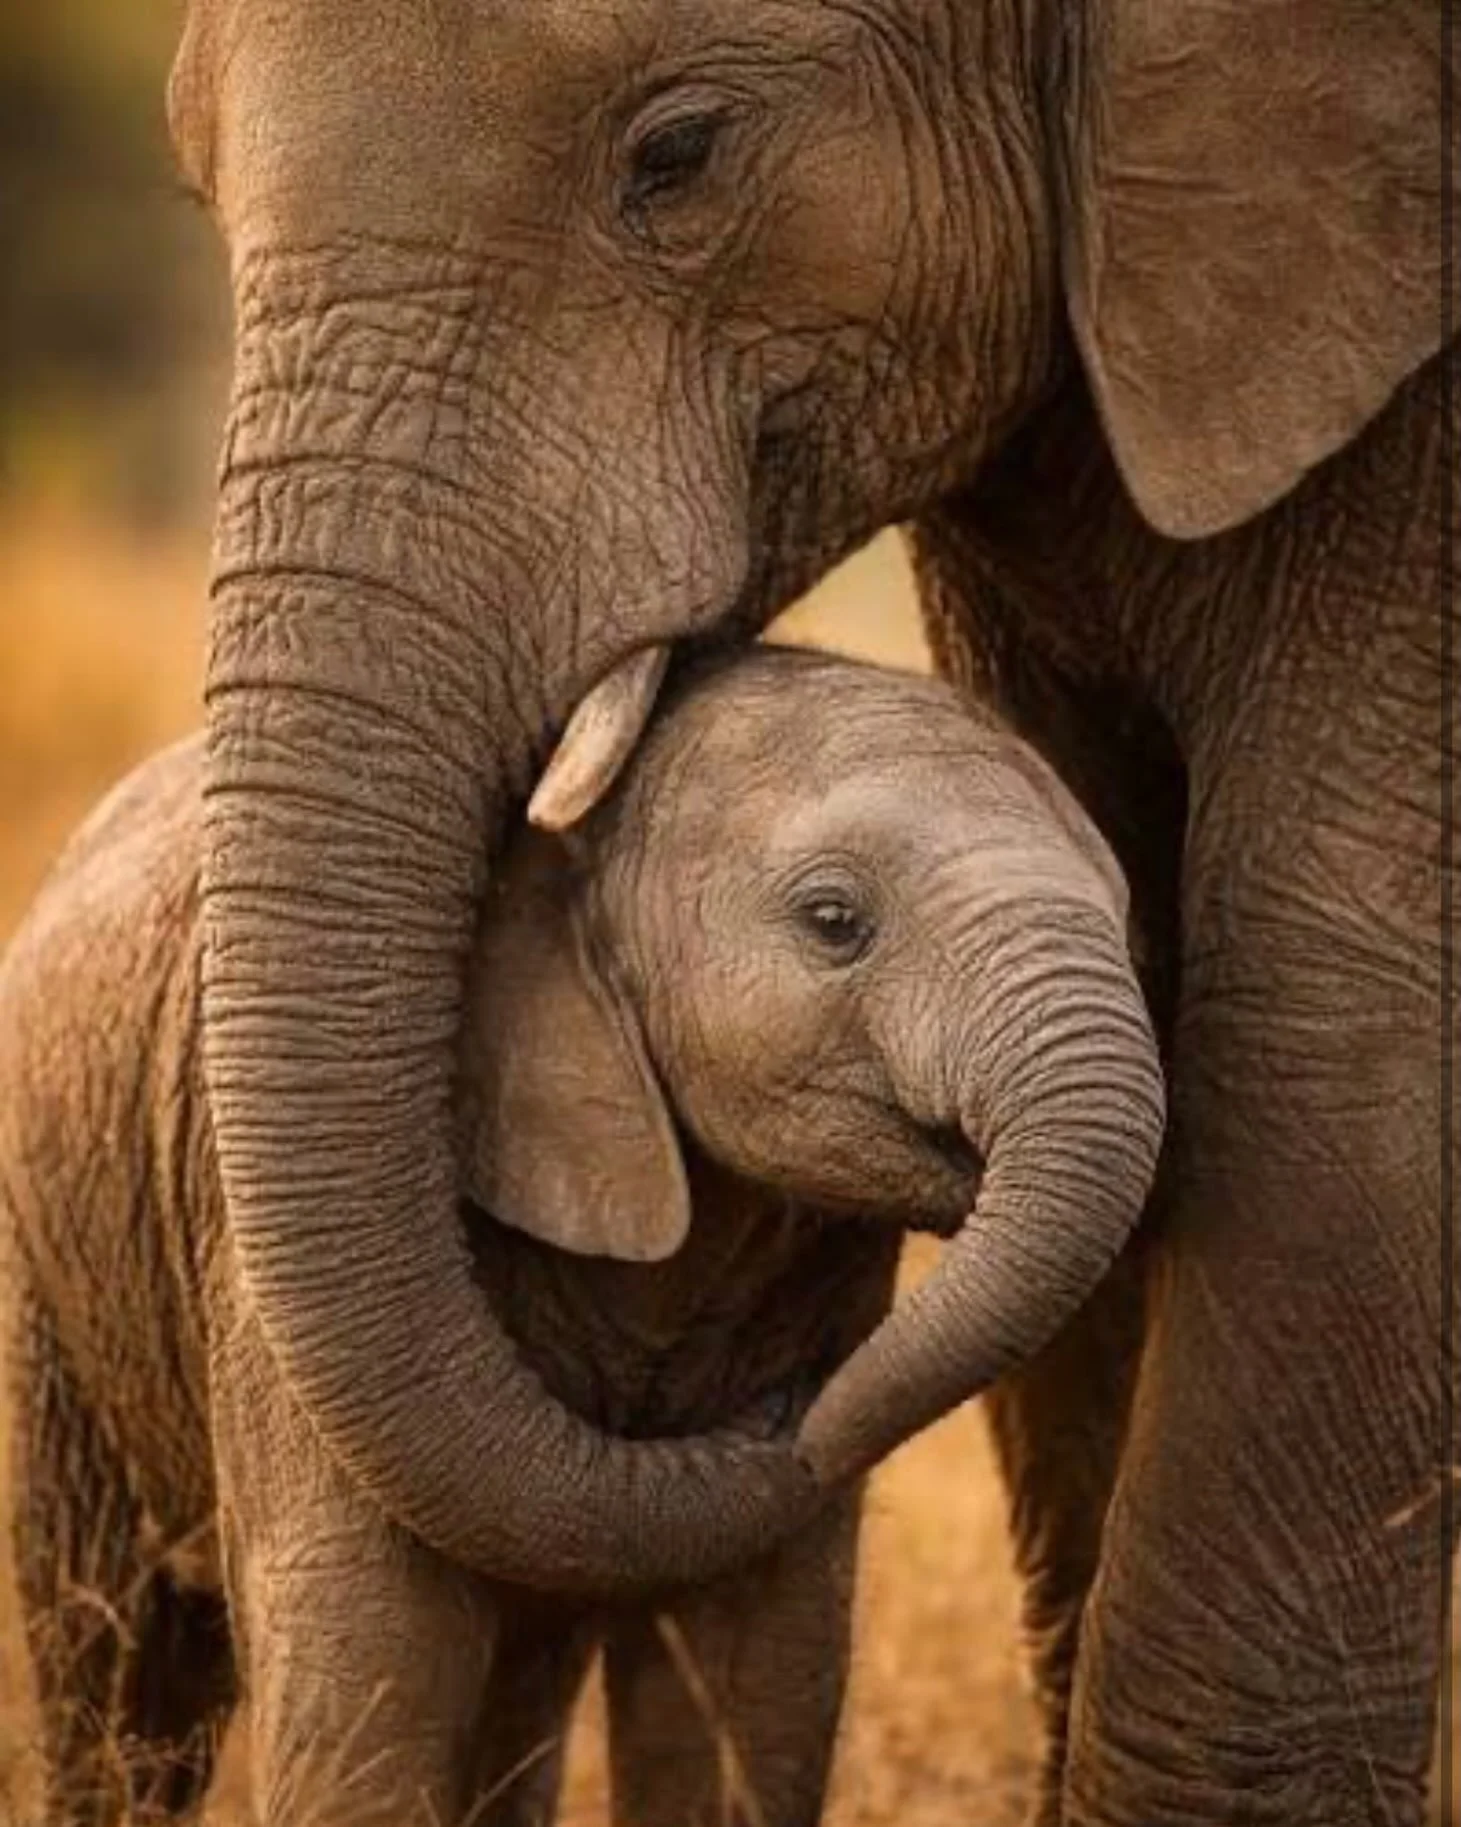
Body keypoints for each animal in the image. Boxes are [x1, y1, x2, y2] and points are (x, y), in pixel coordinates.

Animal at [0, 644, 1161, 1825]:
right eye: (834, 919)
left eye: (1126, 920)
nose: (800, 1419)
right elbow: (368, 1642)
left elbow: (752, 1674)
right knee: (119, 1661)